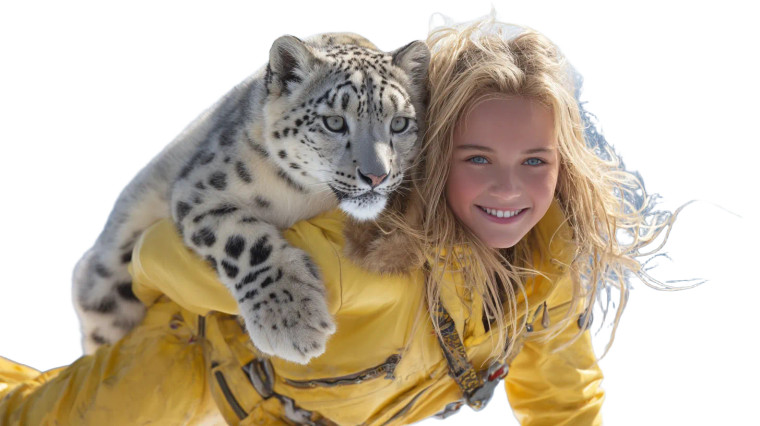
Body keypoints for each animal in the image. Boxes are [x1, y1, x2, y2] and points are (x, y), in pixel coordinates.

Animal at [72, 32, 429, 364]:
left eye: (399, 123)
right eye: (334, 121)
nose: (376, 175)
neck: (305, 198)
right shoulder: (199, 191)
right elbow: (244, 242)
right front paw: (290, 321)